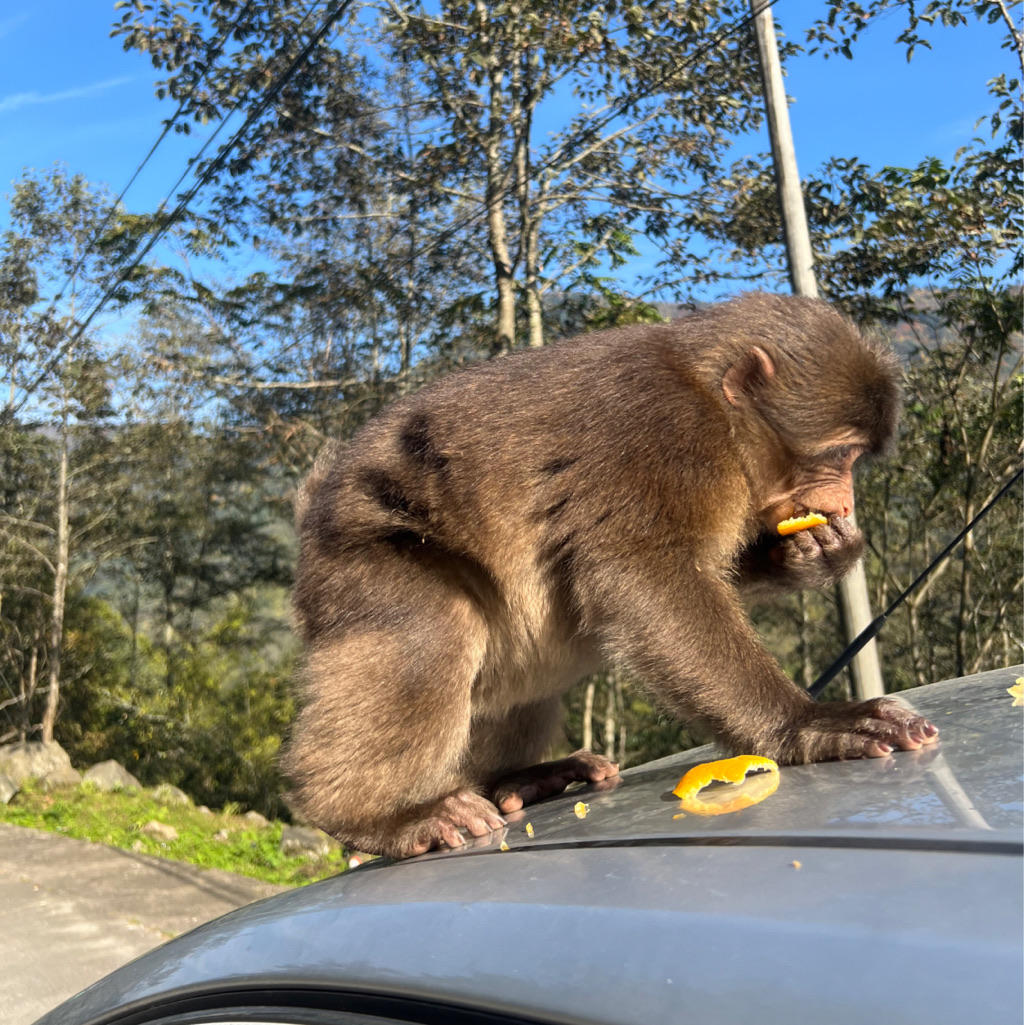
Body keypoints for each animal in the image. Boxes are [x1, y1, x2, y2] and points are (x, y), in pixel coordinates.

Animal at [280, 291, 938, 856]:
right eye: (840, 454)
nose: (845, 501)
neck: (709, 397)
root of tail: (313, 514)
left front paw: (814, 553)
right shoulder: (668, 437)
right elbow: (646, 577)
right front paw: (806, 723)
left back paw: (517, 778)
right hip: (356, 562)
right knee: (437, 627)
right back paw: (379, 817)